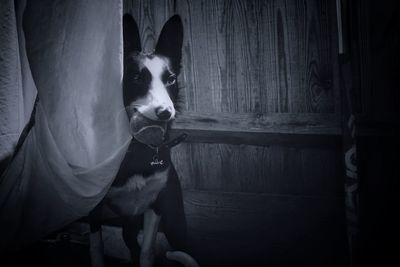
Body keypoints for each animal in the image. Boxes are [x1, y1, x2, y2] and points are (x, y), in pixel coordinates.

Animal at [88, 15, 198, 267]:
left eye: (171, 79)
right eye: (137, 78)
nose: (165, 112)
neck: (137, 149)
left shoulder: (157, 204)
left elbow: (146, 251)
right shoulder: (95, 210)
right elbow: (96, 247)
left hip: (175, 219)